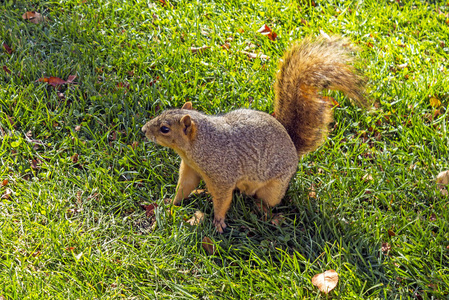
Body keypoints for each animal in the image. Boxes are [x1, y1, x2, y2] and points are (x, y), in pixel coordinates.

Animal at [142, 34, 366, 232]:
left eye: (165, 129)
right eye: (163, 113)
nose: (144, 130)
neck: (198, 147)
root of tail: (293, 147)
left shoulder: (223, 176)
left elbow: (222, 200)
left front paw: (218, 221)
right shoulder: (190, 168)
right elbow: (185, 187)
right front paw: (171, 204)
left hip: (274, 187)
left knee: (269, 202)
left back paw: (261, 209)